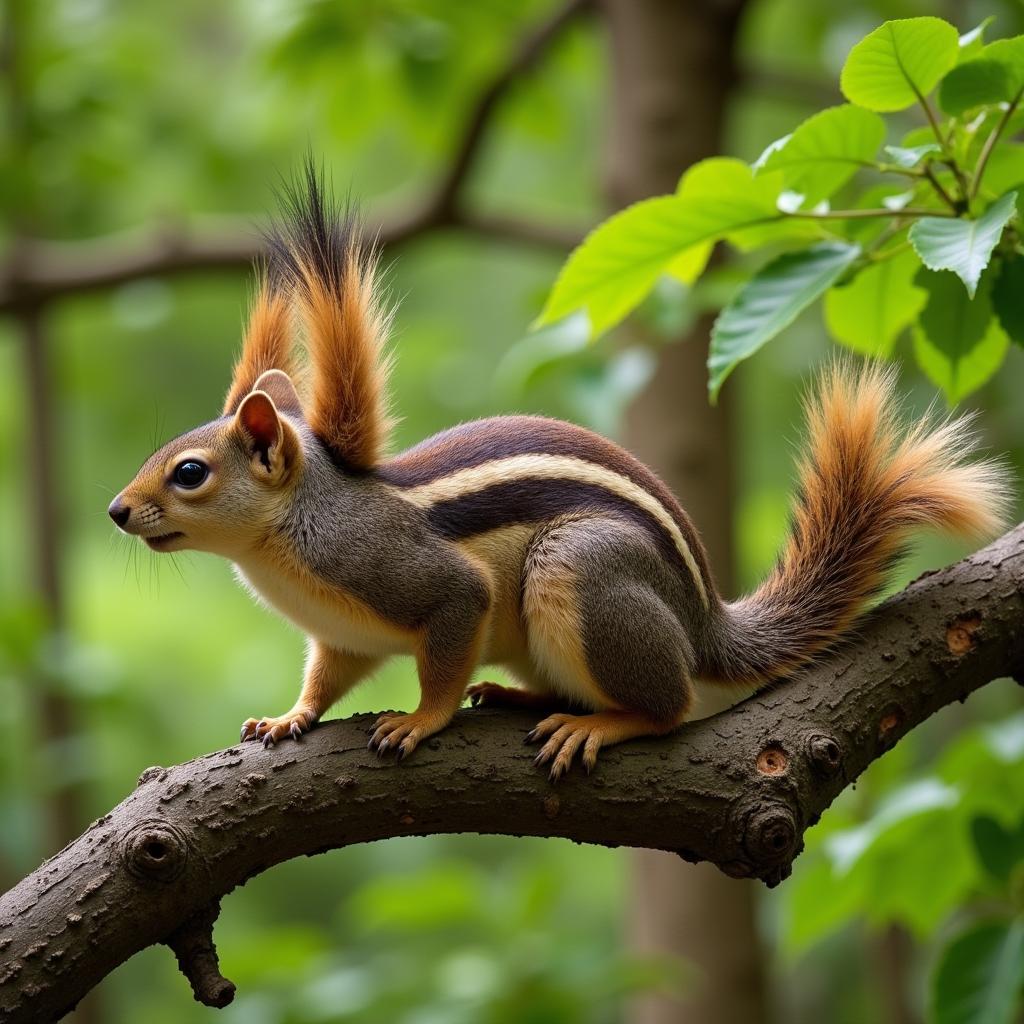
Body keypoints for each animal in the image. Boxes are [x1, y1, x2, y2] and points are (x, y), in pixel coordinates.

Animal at [110, 165, 1007, 782]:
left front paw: (420, 721)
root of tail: (703, 626)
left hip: (582, 571)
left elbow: (446, 645)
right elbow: (326, 678)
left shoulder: (420, 580)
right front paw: (287, 718)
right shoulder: (339, 636)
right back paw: (524, 699)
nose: (118, 511)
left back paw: (601, 724)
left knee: (670, 707)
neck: (285, 541)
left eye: (188, 473)